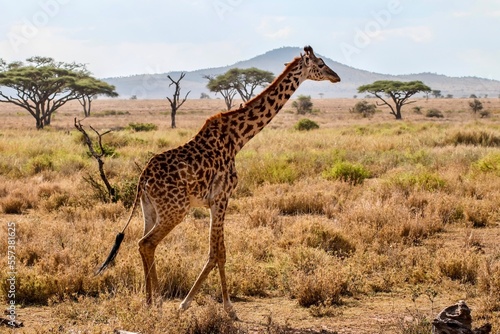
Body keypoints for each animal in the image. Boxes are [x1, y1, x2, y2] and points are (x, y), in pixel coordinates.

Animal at [97, 44, 340, 318]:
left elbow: (218, 252)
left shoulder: (216, 201)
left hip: (149, 209)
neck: (238, 138)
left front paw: (208, 304)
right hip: (175, 210)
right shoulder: (221, 197)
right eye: (320, 64)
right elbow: (217, 254)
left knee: (143, 244)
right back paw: (158, 303)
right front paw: (219, 307)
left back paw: (149, 302)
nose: (336, 77)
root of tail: (143, 179)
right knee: (147, 243)